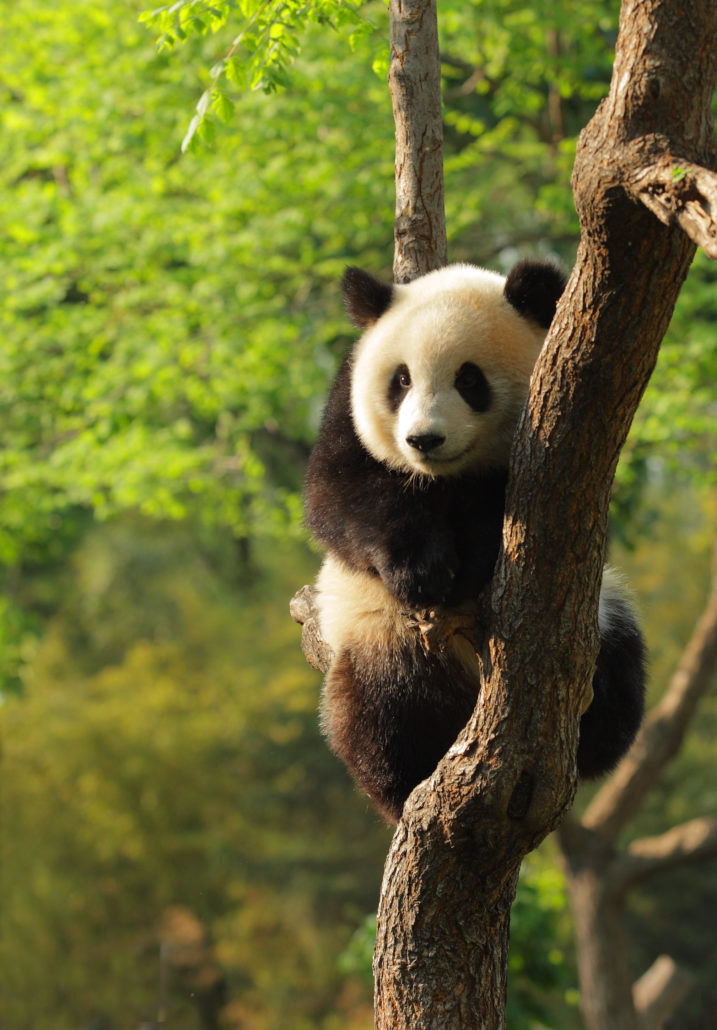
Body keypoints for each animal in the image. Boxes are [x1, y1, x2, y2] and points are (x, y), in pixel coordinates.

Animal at [304, 261, 646, 824]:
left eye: (469, 379)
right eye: (401, 379)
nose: (424, 439)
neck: (446, 478)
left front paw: (468, 563)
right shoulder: (345, 414)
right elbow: (340, 497)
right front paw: (423, 571)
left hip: (599, 613)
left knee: (619, 668)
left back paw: (593, 729)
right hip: (379, 633)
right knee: (382, 709)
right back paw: (405, 783)